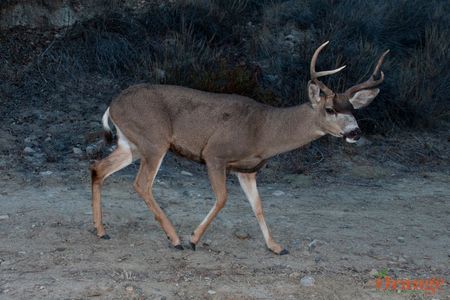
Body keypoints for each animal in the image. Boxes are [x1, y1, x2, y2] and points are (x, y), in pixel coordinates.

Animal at [90, 41, 386, 254]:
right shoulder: (215, 155)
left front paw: (276, 247)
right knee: (141, 183)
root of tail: (112, 105)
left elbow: (258, 206)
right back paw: (174, 239)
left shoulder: (248, 170)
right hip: (154, 141)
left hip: (131, 145)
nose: (355, 132)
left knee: (98, 168)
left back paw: (101, 231)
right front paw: (194, 239)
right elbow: (223, 199)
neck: (264, 130)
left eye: (353, 110)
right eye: (330, 109)